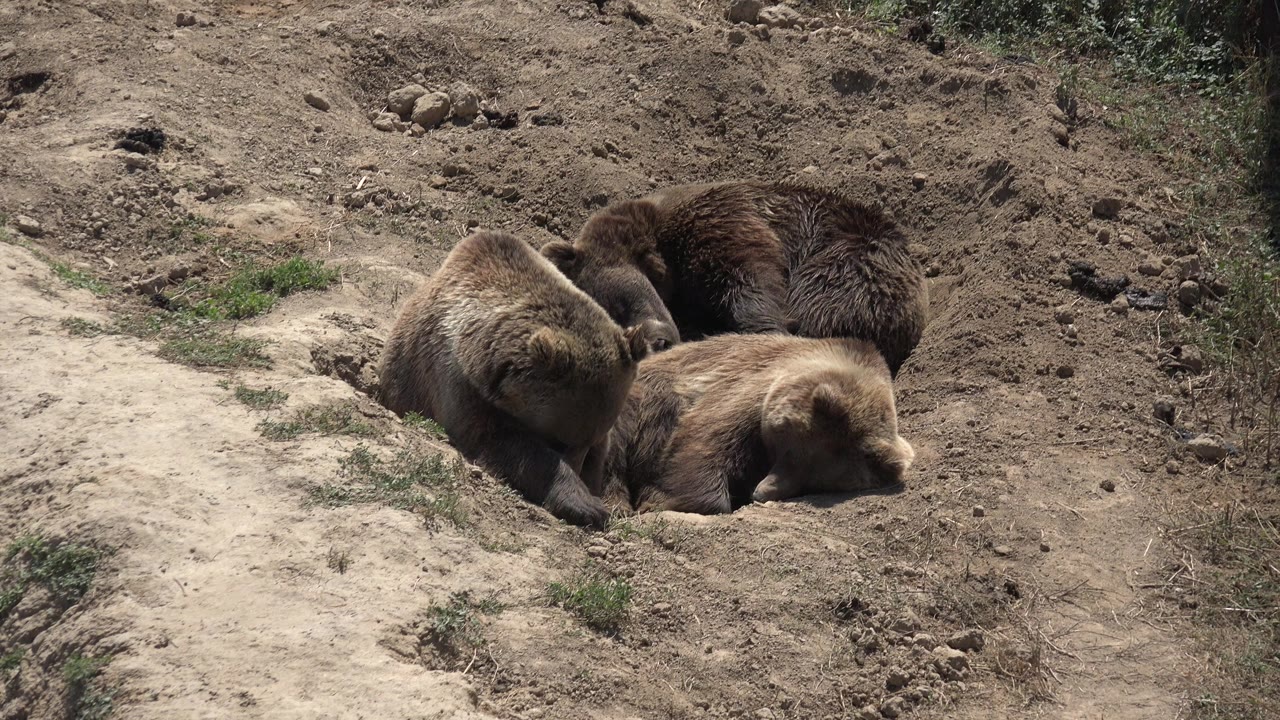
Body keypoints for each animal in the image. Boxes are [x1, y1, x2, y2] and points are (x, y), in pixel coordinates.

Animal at [378, 230, 648, 527]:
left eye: (590, 447)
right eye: (558, 441)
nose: (578, 468)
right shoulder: (459, 382)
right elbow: (504, 442)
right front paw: (586, 505)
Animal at [601, 333, 914, 515]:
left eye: (816, 483)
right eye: (790, 451)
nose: (761, 492)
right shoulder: (752, 388)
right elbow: (707, 440)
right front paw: (662, 501)